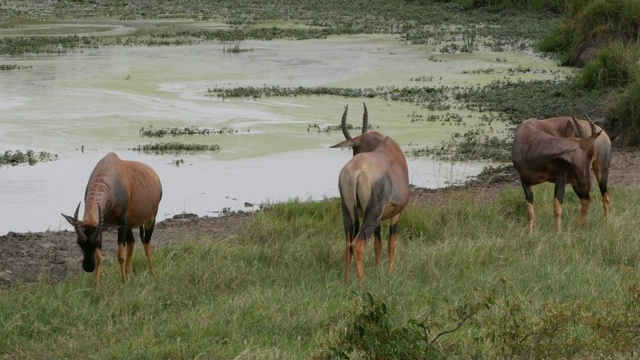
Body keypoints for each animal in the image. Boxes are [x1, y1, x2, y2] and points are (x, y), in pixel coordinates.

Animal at [62, 153, 162, 290]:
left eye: (95, 243)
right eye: (79, 243)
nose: (88, 268)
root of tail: (155, 176)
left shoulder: (122, 219)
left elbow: (120, 255)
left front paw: (123, 285)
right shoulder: (102, 224)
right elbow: (99, 257)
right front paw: (95, 289)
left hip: (150, 219)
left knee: (146, 243)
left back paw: (152, 274)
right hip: (129, 225)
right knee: (131, 243)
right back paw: (128, 275)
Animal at [330, 102, 410, 286]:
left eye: (355, 147)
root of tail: (355, 171)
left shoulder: (378, 217)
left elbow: (377, 243)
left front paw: (377, 270)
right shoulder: (395, 212)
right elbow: (391, 242)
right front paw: (390, 274)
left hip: (348, 211)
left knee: (348, 244)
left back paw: (346, 284)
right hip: (372, 213)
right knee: (357, 245)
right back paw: (362, 286)